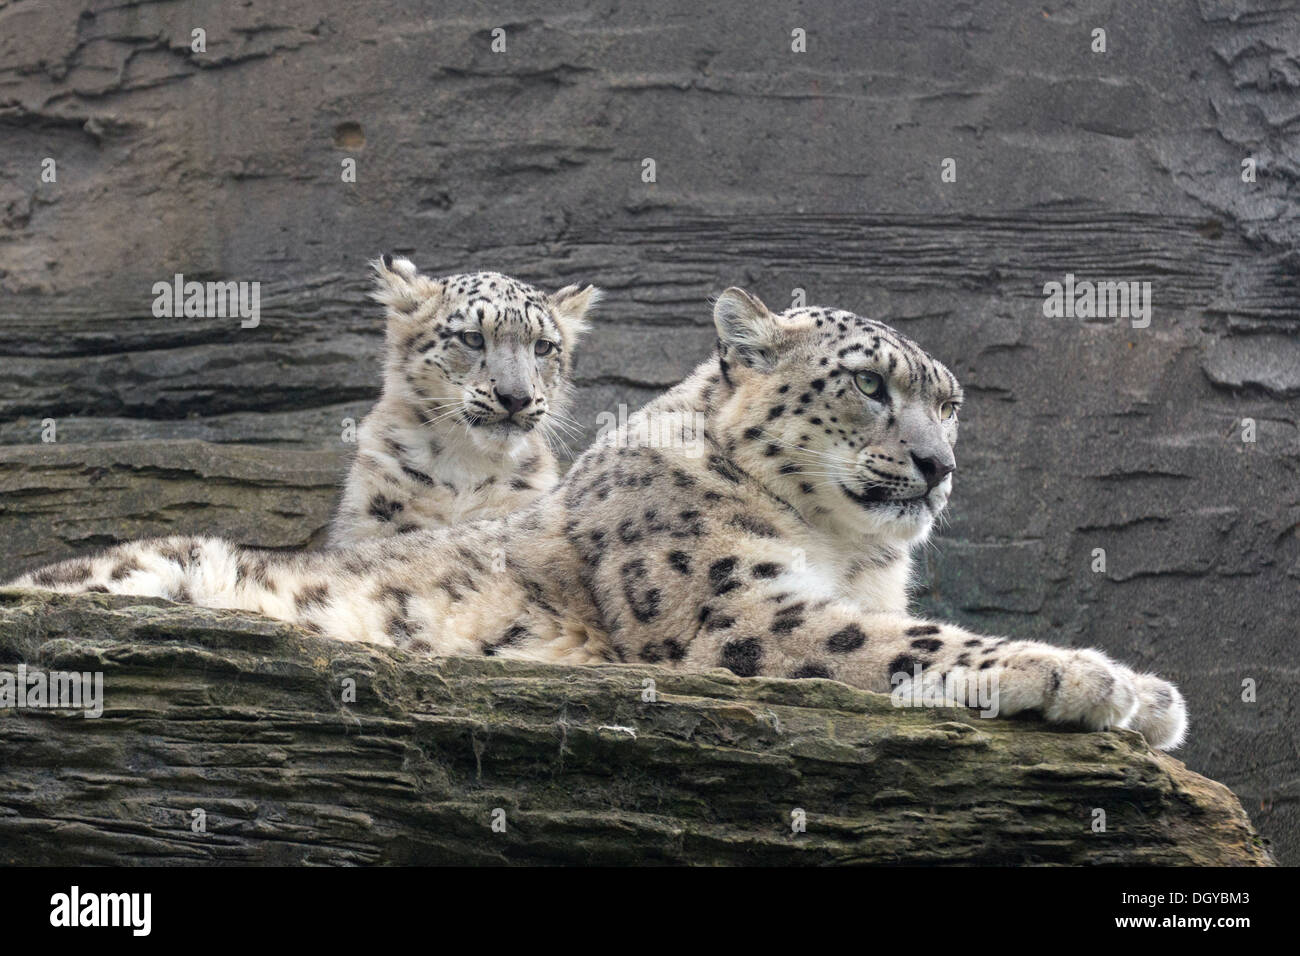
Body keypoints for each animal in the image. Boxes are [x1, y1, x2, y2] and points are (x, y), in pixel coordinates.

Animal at [7, 287, 1190, 749]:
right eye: (868, 384)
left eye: (948, 403)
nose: (939, 466)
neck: (849, 553)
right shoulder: (737, 611)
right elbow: (915, 640)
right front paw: (1103, 679)